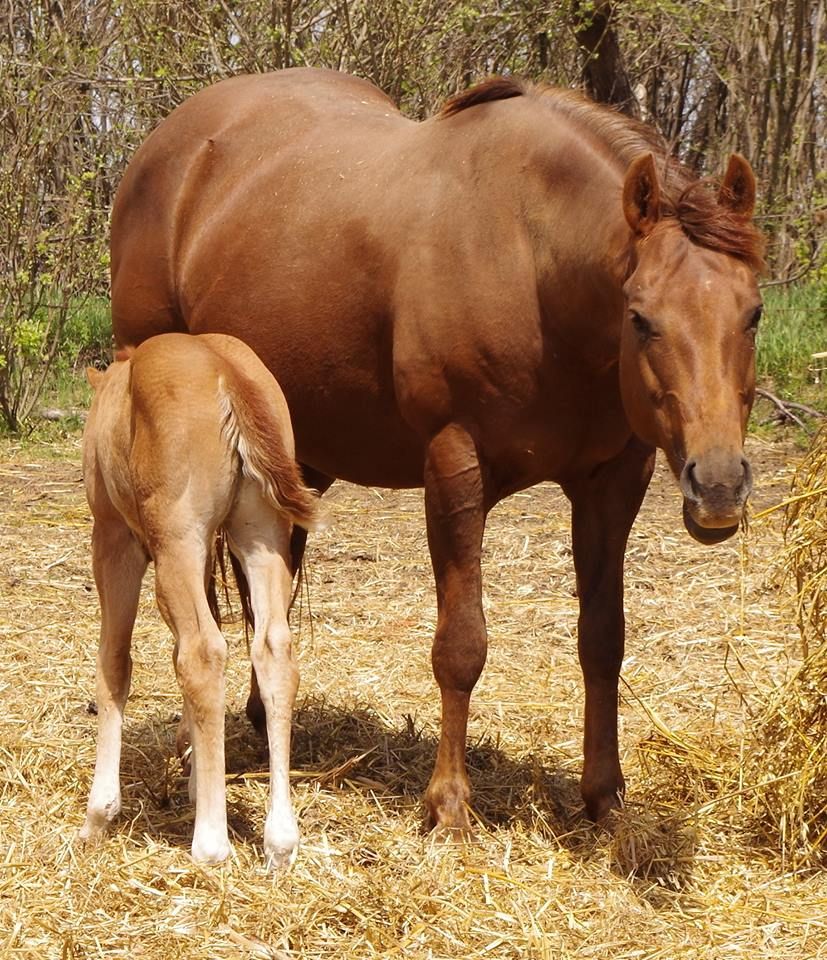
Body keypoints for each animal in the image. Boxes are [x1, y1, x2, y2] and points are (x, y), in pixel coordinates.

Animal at [80, 332, 323, 866]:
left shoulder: (115, 539)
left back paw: (210, 843)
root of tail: (227, 373)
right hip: (260, 536)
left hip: (178, 540)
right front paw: (194, 774)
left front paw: (99, 815)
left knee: (202, 652)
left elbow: (114, 661)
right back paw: (280, 840)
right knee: (273, 651)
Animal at [110, 68, 765, 832]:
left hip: (290, 459)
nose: (717, 486)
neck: (529, 261)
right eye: (640, 318)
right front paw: (448, 802)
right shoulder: (455, 468)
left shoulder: (613, 481)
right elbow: (461, 645)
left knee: (263, 589)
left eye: (752, 313)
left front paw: (604, 795)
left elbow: (603, 639)